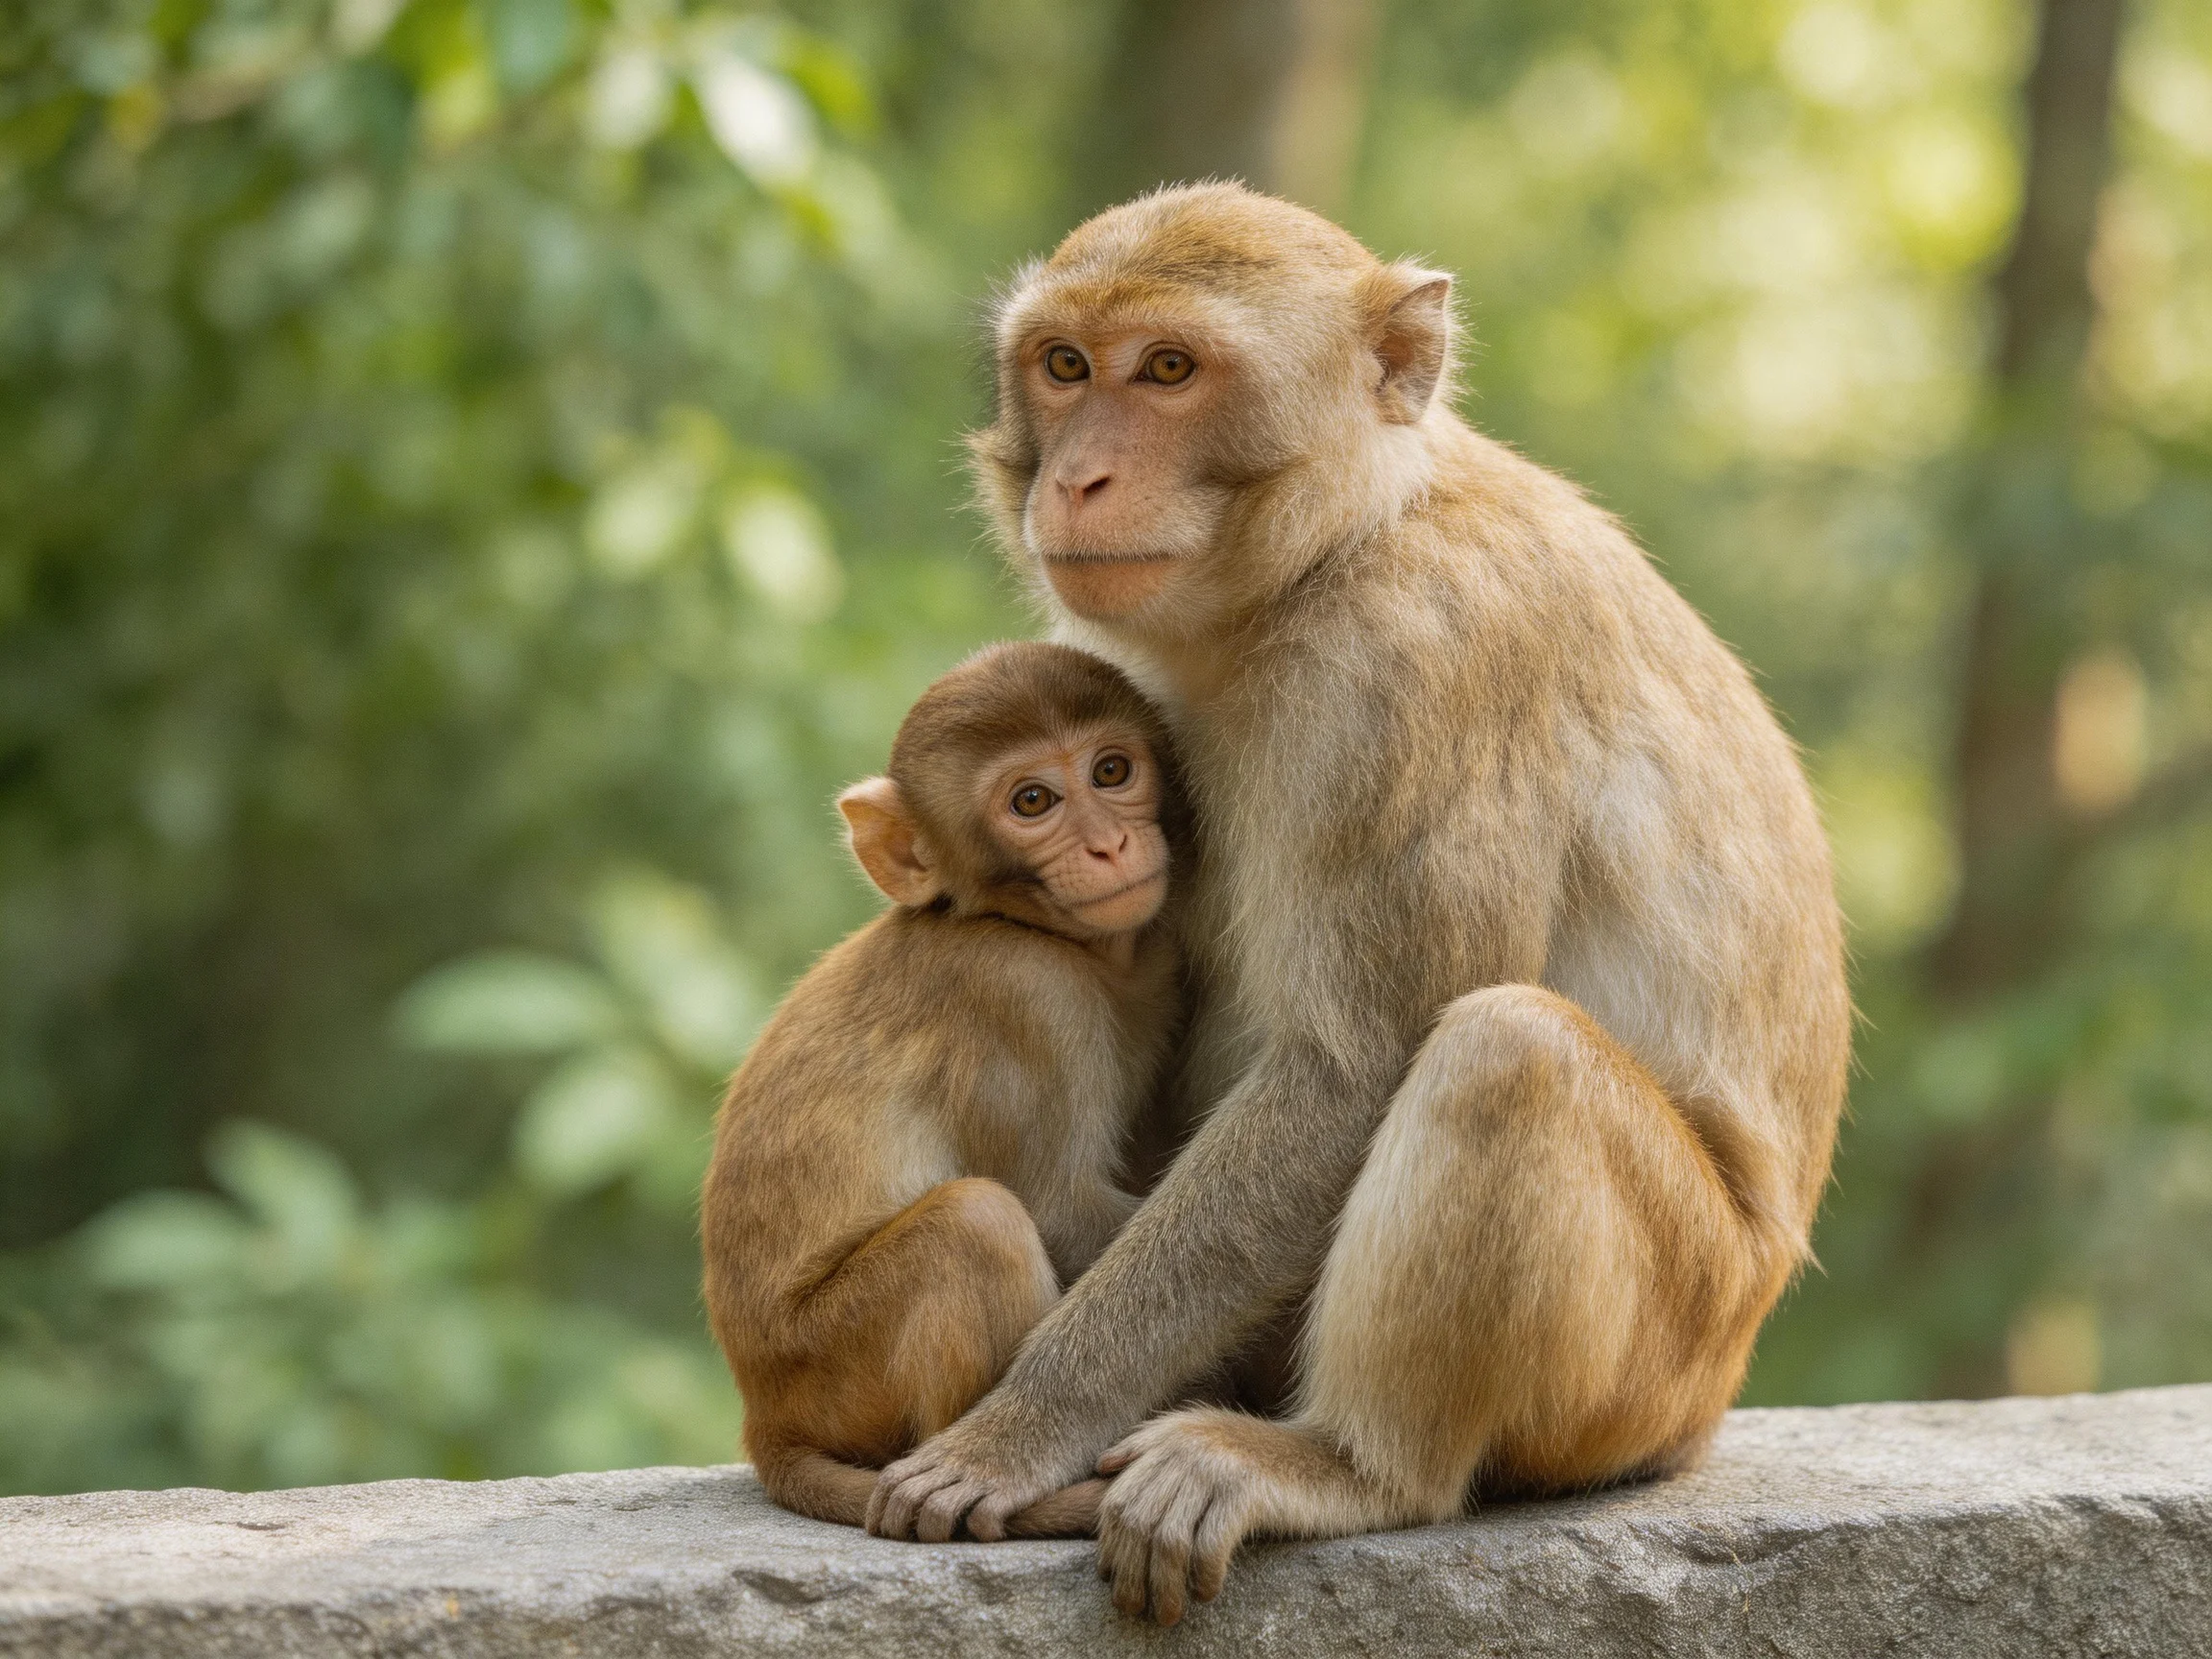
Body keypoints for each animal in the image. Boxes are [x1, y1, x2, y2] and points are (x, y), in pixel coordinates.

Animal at [699, 640, 1185, 1537]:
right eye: (1033, 801)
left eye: (1111, 770)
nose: (1109, 845)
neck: (1009, 921)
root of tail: (764, 1417)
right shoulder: (1023, 995)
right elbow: (1057, 1204)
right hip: (834, 1369)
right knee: (976, 1221)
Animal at [867, 182, 1852, 1627]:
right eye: (1065, 366)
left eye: (1170, 370)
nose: (1078, 476)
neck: (1341, 547)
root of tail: (1708, 1405)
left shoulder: (1412, 672)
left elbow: (1352, 1066)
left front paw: (1017, 1426)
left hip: (1658, 1352)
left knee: (1507, 1053)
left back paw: (1349, 1468)